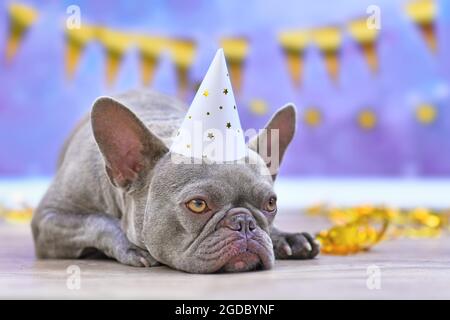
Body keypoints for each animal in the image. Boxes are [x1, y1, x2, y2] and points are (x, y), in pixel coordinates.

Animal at [30, 89, 320, 272]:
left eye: (270, 204)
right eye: (198, 205)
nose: (245, 223)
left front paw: (285, 237)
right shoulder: (49, 218)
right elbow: (98, 222)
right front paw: (129, 246)